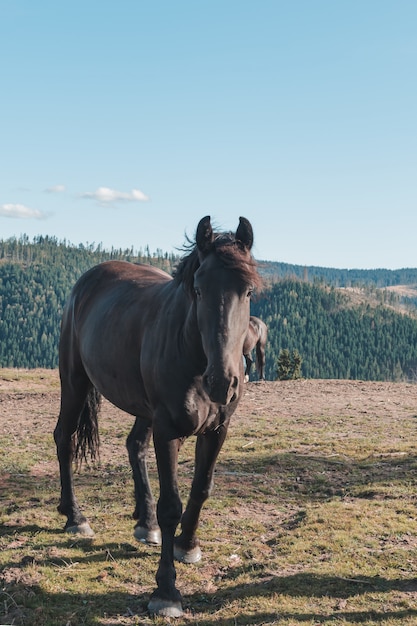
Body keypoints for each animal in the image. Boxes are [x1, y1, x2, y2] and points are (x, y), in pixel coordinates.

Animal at [52, 214, 260, 616]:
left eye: (248, 292)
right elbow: (171, 506)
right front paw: (166, 591)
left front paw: (187, 545)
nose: (222, 382)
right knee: (64, 439)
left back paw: (143, 521)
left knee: (134, 446)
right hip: (74, 382)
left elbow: (202, 488)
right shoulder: (168, 431)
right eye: (198, 290)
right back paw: (75, 517)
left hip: (143, 408)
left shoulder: (217, 430)